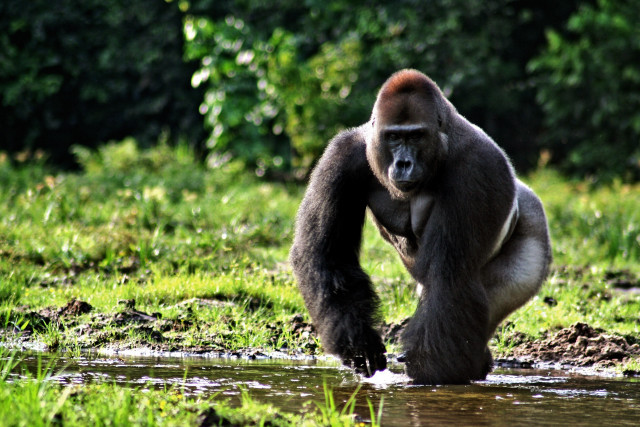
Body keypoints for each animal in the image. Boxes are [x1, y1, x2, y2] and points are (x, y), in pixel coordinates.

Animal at [289, 69, 552, 385]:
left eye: (416, 136)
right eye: (393, 137)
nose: (404, 163)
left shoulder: (477, 166)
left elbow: (449, 276)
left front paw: (432, 372)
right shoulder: (342, 155)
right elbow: (328, 254)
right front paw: (360, 344)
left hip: (533, 232)